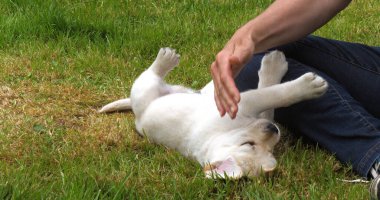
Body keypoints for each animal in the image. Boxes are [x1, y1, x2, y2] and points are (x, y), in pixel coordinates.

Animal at [99, 48, 328, 178]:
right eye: (249, 145)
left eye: (271, 151)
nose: (274, 130)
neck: (221, 135)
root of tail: (137, 115)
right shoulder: (246, 103)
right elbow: (273, 94)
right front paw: (305, 85)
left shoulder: (254, 114)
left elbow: (269, 103)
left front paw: (272, 66)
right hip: (145, 89)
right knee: (150, 75)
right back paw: (165, 60)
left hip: (189, 92)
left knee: (204, 89)